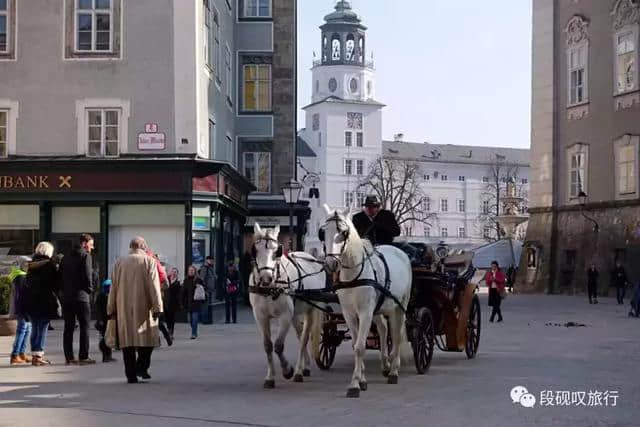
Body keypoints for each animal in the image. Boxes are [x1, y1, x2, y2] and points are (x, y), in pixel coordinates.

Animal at [249, 226, 324, 390]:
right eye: (255, 250)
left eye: (277, 251)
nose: (266, 278)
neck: (270, 289)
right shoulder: (260, 317)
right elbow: (268, 346)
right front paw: (270, 377)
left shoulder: (284, 316)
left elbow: (278, 345)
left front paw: (287, 370)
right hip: (295, 314)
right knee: (300, 335)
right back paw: (305, 367)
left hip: (311, 310)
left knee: (304, 339)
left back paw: (298, 372)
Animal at [322, 206, 412, 400]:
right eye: (323, 231)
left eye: (343, 232)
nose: (330, 264)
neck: (354, 275)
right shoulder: (349, 313)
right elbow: (356, 344)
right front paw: (362, 380)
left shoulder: (365, 312)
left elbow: (360, 347)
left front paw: (354, 384)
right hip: (380, 308)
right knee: (384, 329)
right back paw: (385, 365)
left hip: (400, 305)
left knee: (397, 333)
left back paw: (393, 371)